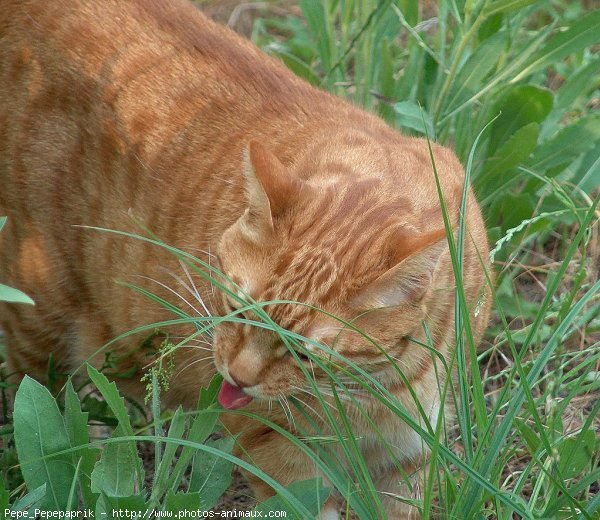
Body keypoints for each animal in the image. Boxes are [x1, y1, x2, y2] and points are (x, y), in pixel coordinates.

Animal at [0, 0, 490, 516]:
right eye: (236, 310)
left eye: (303, 353)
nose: (236, 377)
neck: (372, 390)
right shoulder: (276, 443)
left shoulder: (412, 453)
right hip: (38, 309)